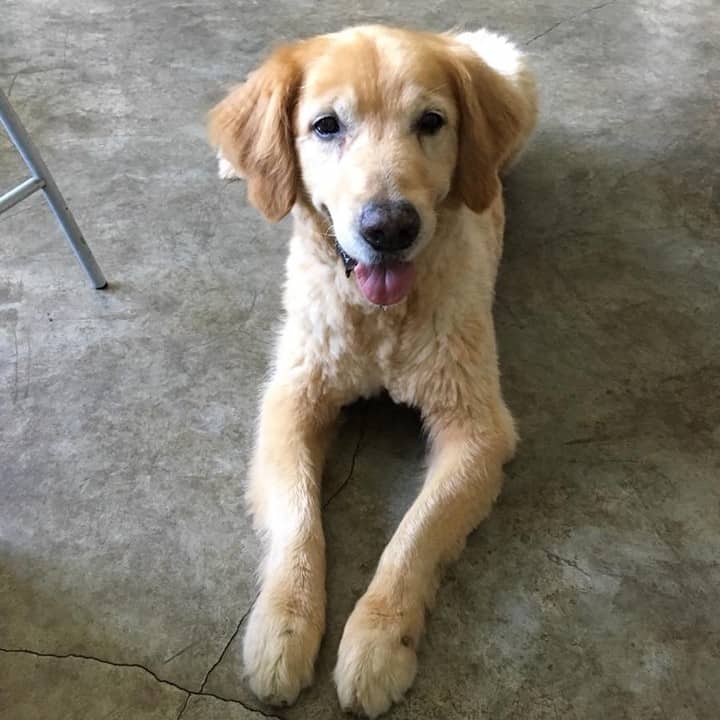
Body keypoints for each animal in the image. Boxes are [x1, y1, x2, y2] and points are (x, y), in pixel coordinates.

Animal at [208, 25, 536, 716]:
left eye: (431, 122)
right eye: (326, 125)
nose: (389, 227)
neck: (379, 318)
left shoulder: (477, 428)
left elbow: (414, 537)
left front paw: (377, 643)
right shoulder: (292, 398)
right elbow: (299, 521)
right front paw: (283, 627)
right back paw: (235, 160)